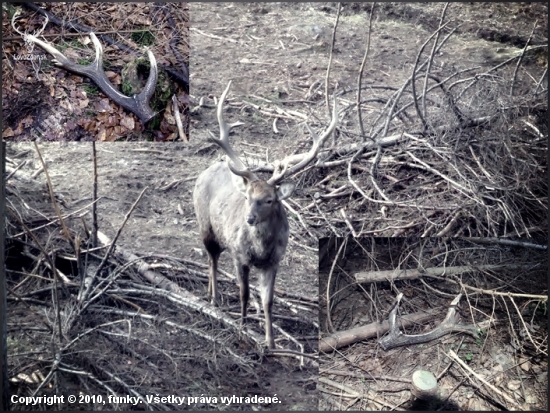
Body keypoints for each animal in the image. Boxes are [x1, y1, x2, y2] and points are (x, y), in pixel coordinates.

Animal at [194, 80, 340, 348]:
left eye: (269, 199)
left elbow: (267, 301)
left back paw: (211, 295)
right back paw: (215, 300)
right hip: (205, 225)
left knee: (213, 259)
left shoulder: (274, 261)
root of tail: (206, 171)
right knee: (211, 259)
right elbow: (244, 293)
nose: (249, 218)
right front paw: (242, 327)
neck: (261, 249)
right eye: (248, 197)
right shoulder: (239, 255)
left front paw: (271, 342)